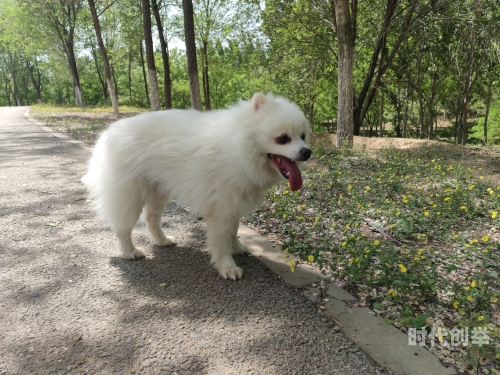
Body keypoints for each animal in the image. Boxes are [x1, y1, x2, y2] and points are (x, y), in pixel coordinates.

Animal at [81, 93, 310, 280]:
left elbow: (233, 231)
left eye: (303, 136)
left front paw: (236, 247)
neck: (239, 147)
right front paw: (227, 267)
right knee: (123, 228)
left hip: (157, 193)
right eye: (282, 139)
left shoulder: (233, 204)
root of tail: (108, 133)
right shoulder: (221, 209)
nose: (307, 152)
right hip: (130, 195)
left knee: (151, 219)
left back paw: (163, 240)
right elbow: (221, 240)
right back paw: (130, 252)